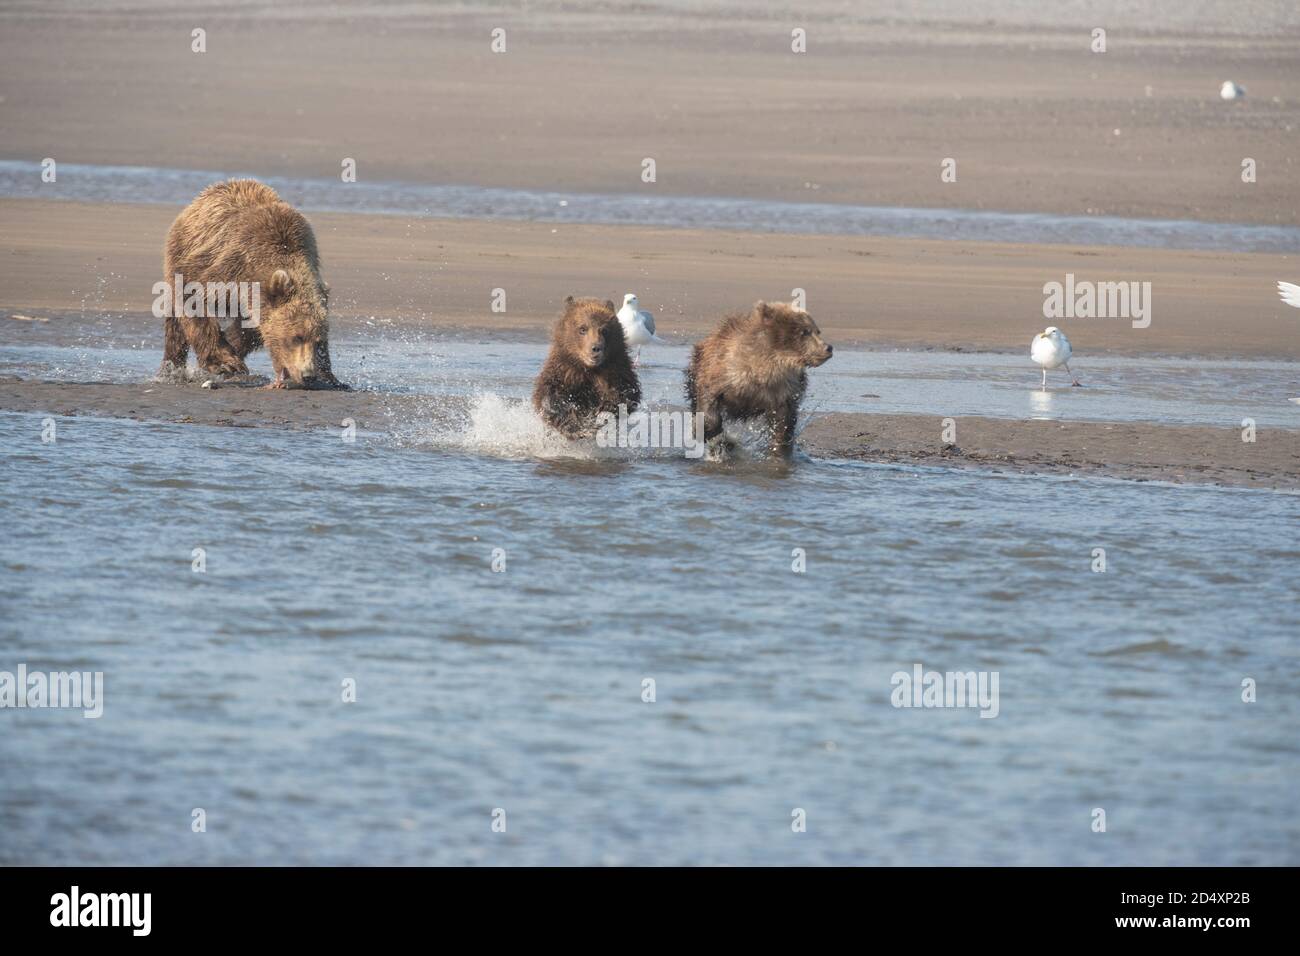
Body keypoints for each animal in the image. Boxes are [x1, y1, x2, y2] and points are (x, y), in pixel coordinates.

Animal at [157, 179, 345, 390]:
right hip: (181, 247)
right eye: (296, 337)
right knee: (175, 323)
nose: (308, 375)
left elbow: (253, 329)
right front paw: (225, 362)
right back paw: (171, 369)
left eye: (319, 341)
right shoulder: (231, 265)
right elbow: (192, 293)